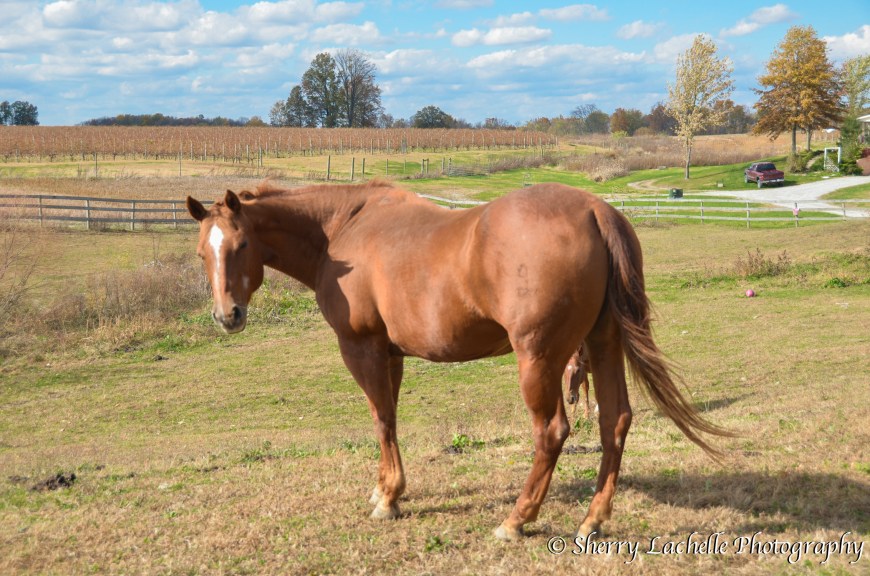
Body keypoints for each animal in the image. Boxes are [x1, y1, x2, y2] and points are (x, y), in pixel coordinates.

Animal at [186, 180, 731, 541]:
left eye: (241, 244)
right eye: (201, 254)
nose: (227, 315)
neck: (341, 232)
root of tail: (596, 210)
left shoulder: (361, 348)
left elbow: (381, 419)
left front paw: (388, 498)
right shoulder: (391, 355)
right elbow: (391, 418)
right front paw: (387, 490)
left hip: (539, 359)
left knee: (552, 432)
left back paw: (516, 520)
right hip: (602, 344)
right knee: (614, 421)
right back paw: (593, 520)